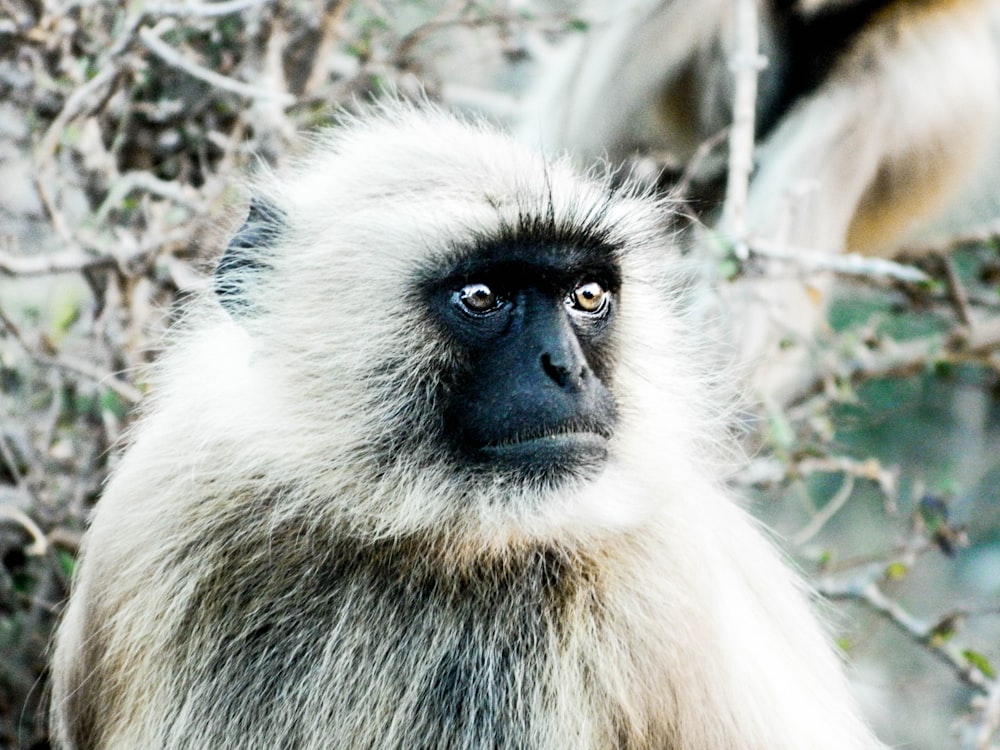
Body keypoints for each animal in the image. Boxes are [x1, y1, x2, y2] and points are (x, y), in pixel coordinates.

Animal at [50, 104, 888, 750]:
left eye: (587, 296)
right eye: (482, 296)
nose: (566, 370)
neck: (420, 536)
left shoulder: (653, 577)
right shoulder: (172, 516)